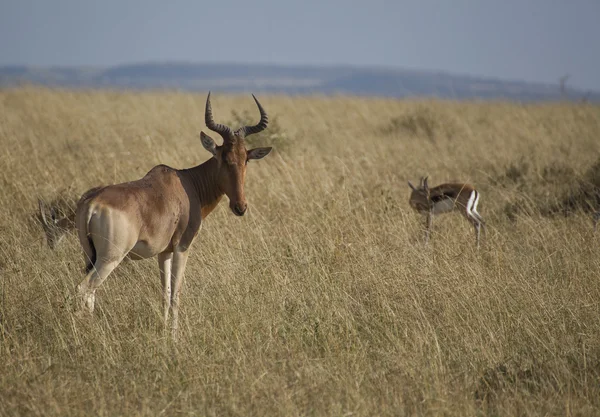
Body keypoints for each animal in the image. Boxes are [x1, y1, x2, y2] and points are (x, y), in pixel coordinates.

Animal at [69, 92, 272, 334]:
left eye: (245, 159)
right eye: (223, 157)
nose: (240, 207)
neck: (187, 183)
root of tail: (91, 202)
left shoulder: (163, 252)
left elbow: (165, 293)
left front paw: (164, 330)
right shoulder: (182, 247)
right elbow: (176, 293)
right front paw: (175, 335)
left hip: (90, 255)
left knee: (90, 293)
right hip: (110, 258)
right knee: (83, 288)